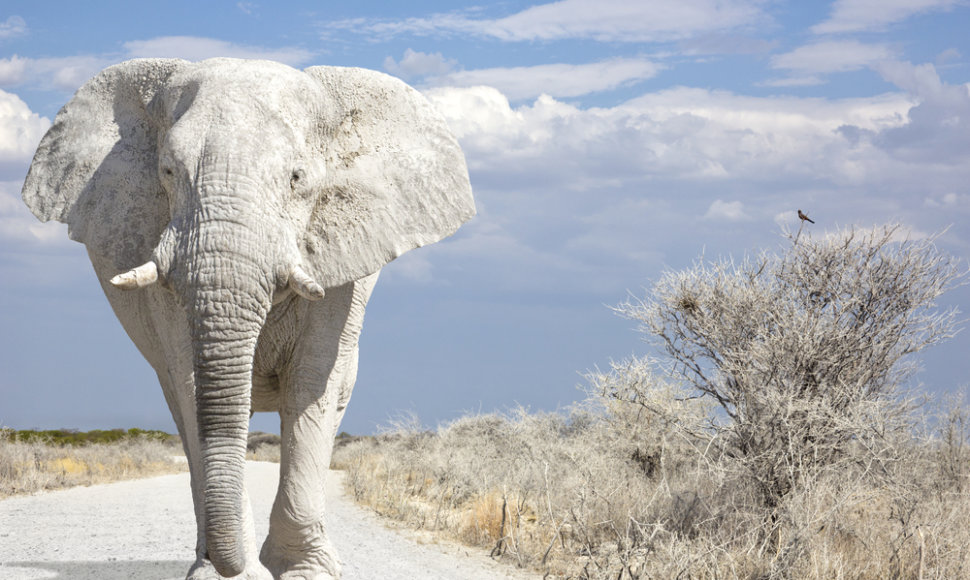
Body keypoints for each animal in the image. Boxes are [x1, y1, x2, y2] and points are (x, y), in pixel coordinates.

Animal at [20, 60, 474, 580]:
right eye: (167, 172)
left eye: (297, 177)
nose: (235, 565)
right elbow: (192, 383)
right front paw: (225, 575)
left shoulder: (340, 275)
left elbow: (311, 381)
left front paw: (306, 572)